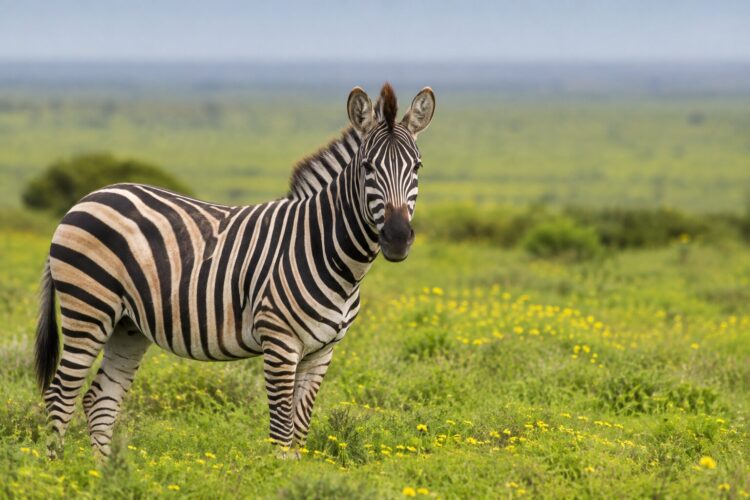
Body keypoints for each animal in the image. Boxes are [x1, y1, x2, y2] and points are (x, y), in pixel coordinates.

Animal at [34, 83, 436, 459]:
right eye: (368, 167)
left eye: (417, 167)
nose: (397, 238)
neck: (327, 251)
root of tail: (87, 199)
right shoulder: (279, 341)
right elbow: (281, 433)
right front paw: (278, 477)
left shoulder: (322, 352)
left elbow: (299, 432)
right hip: (88, 309)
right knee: (61, 395)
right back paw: (60, 473)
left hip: (127, 325)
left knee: (99, 400)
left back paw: (103, 473)